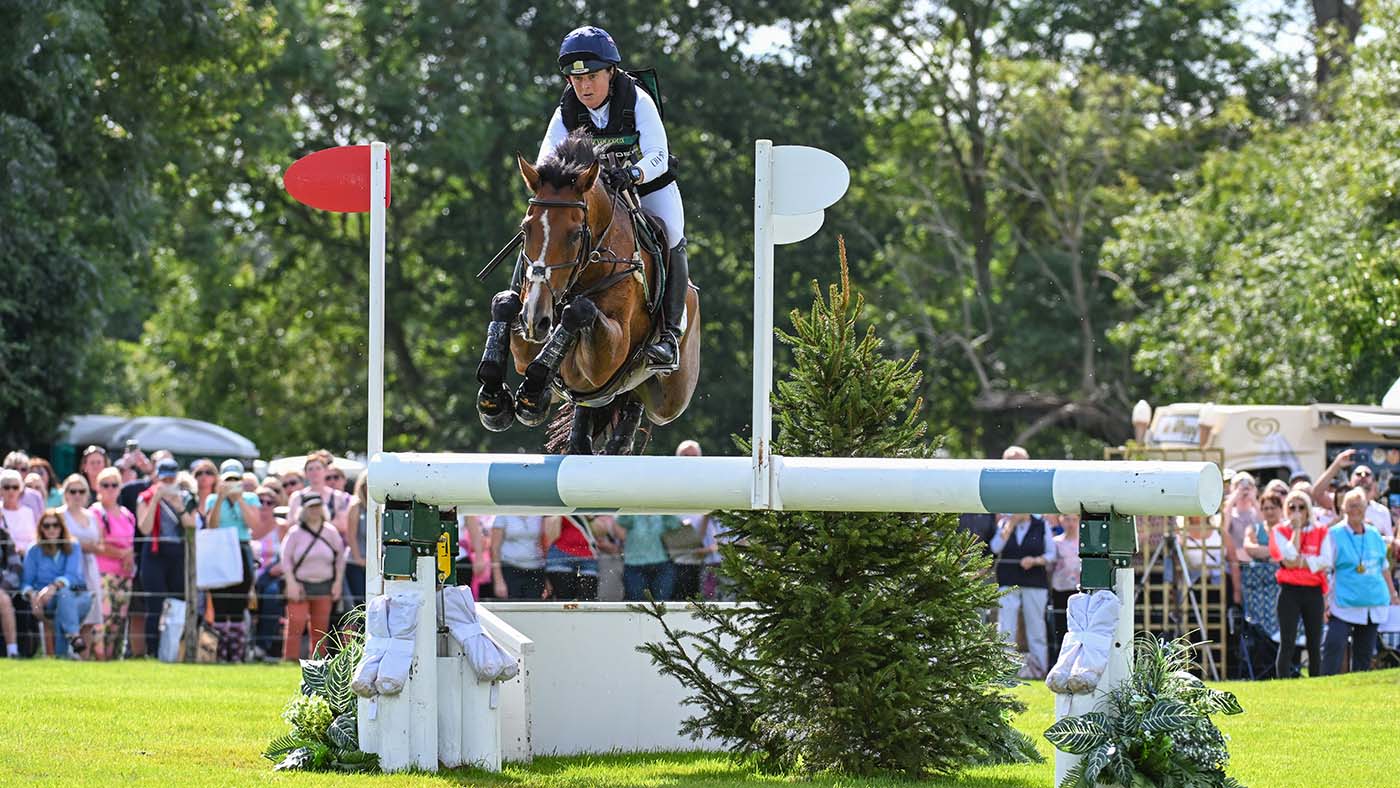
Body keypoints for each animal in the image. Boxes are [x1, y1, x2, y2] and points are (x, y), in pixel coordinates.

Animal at [476, 130, 700, 456]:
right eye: (526, 229)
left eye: (575, 235)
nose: (535, 319)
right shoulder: (526, 336)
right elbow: (504, 305)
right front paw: (494, 403)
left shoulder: (606, 357)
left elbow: (578, 311)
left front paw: (532, 395)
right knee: (594, 406)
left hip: (670, 397)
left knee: (636, 398)